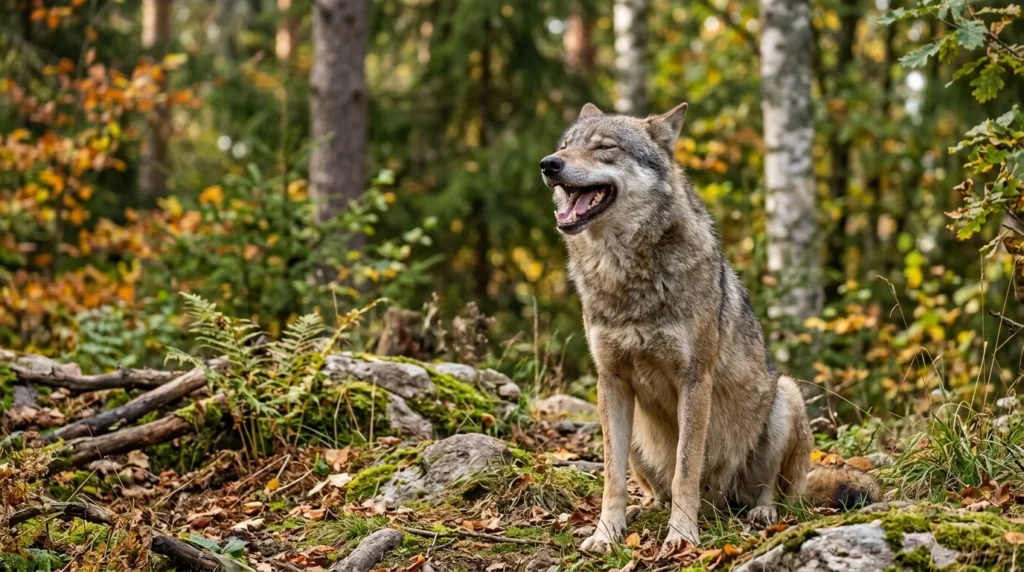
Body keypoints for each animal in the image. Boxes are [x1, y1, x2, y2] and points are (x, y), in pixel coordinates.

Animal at [539, 102, 879, 555]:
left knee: (771, 491)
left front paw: (682, 535)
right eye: (565, 145)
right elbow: (613, 477)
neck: (624, 273)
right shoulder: (610, 380)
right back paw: (646, 509)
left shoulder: (695, 379)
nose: (548, 164)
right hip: (637, 437)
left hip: (785, 398)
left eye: (604, 147)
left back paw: (761, 512)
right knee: (653, 488)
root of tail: (722, 501)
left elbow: (686, 470)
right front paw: (606, 534)